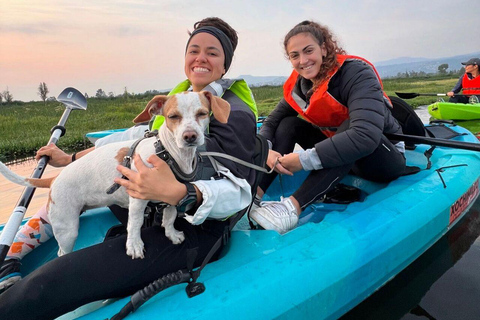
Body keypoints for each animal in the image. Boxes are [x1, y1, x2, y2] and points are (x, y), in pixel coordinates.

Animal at [0, 91, 231, 258]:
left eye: (202, 113)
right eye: (173, 117)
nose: (190, 136)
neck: (169, 153)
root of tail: (55, 178)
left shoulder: (171, 197)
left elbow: (170, 217)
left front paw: (171, 234)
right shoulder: (138, 197)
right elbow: (135, 223)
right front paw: (134, 245)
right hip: (67, 228)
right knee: (61, 251)